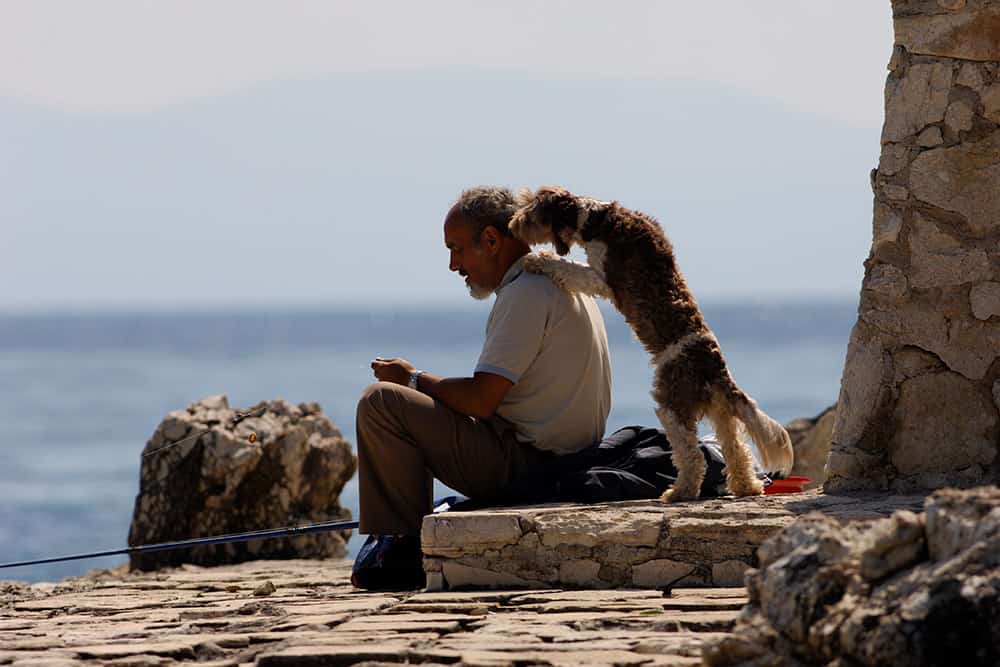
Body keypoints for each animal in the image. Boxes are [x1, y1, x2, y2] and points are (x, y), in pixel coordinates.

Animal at [512, 185, 792, 504]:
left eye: (530, 209)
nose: (513, 223)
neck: (597, 220)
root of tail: (715, 370)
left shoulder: (602, 277)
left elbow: (569, 267)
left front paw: (538, 259)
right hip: (720, 413)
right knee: (736, 451)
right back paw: (747, 487)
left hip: (671, 404)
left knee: (694, 456)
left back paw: (680, 492)